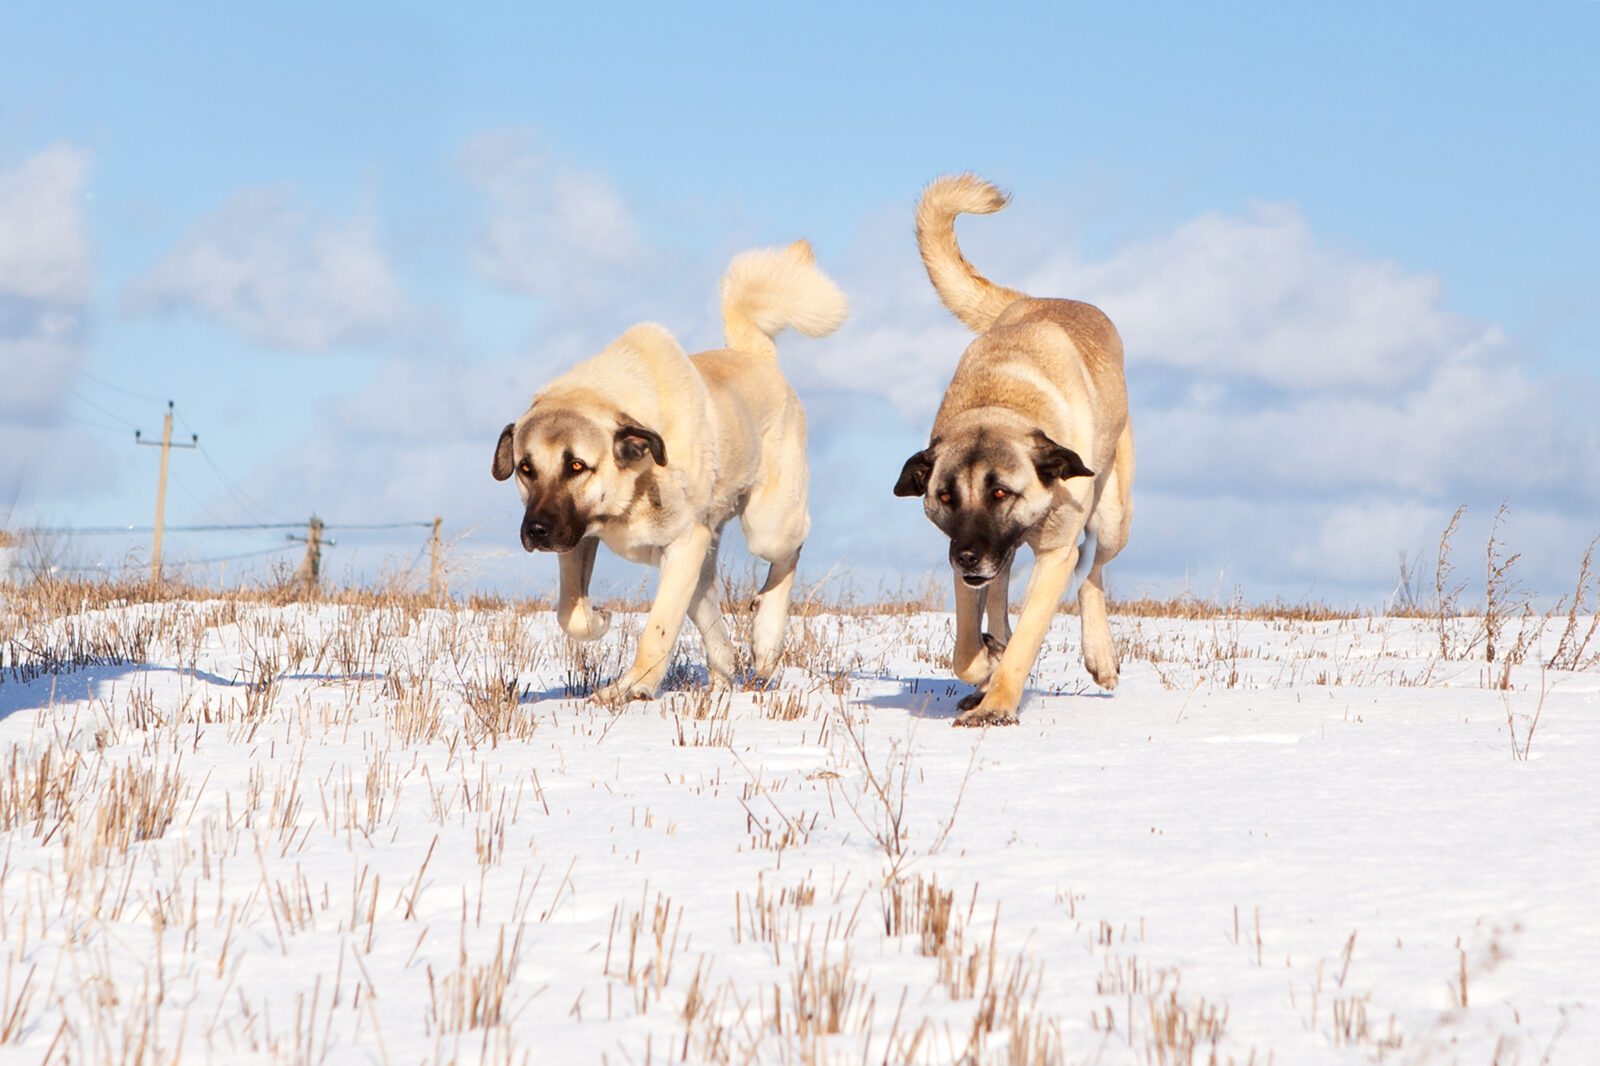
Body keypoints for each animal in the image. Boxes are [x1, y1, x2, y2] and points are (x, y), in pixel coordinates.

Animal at [492, 238, 851, 697]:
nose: (536, 531)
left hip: (767, 526)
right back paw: (724, 675)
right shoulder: (578, 538)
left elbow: (658, 629)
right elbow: (570, 612)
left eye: (576, 465)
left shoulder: (683, 544)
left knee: (791, 550)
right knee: (715, 623)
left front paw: (633, 688)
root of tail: (758, 356)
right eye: (525, 468)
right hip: (706, 559)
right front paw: (600, 618)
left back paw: (767, 641)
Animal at [889, 174, 1139, 723]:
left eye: (1001, 492)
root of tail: (1039, 297)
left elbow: (1027, 637)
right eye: (945, 497)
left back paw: (1099, 655)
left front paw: (996, 706)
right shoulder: (971, 567)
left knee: (1093, 570)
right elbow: (966, 647)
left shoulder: (1054, 554)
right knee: (1004, 596)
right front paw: (985, 669)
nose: (966, 555)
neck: (1001, 404)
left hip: (1113, 516)